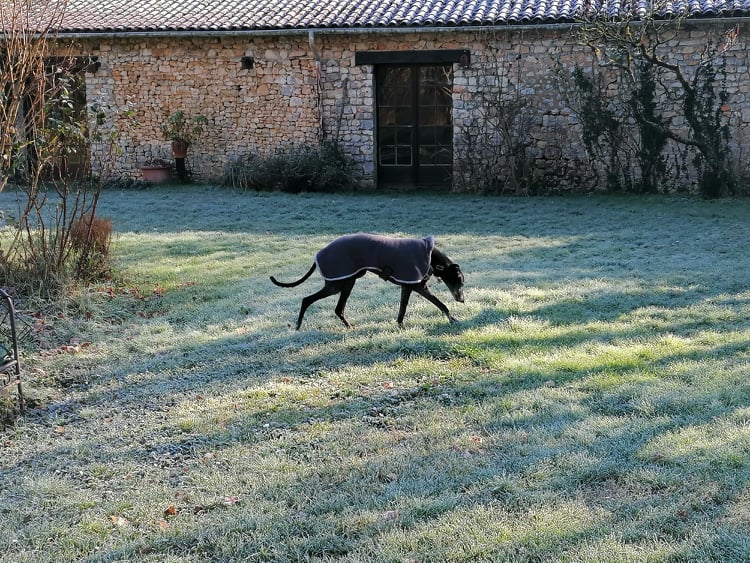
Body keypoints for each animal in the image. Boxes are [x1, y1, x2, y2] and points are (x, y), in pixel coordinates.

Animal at [270, 234, 464, 330]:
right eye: (461, 281)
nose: (462, 300)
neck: (432, 257)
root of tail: (318, 254)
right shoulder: (418, 286)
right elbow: (441, 304)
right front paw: (453, 320)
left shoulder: (407, 286)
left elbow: (402, 308)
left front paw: (399, 325)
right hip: (336, 285)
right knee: (307, 300)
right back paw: (298, 326)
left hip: (347, 283)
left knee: (338, 309)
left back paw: (349, 327)